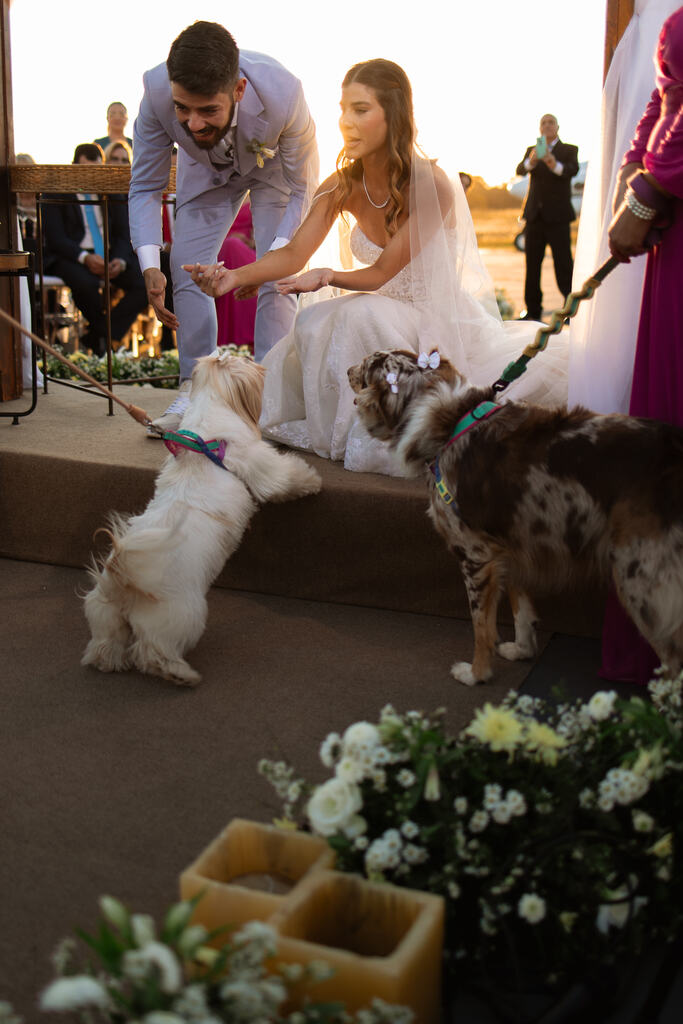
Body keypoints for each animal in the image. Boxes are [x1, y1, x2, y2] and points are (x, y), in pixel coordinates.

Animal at [81, 352, 321, 688]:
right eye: (244, 358)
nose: (257, 361)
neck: (205, 436)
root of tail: (123, 578)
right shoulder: (259, 464)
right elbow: (285, 479)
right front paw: (313, 480)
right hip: (183, 615)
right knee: (153, 650)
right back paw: (180, 673)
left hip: (104, 612)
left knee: (106, 642)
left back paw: (109, 661)